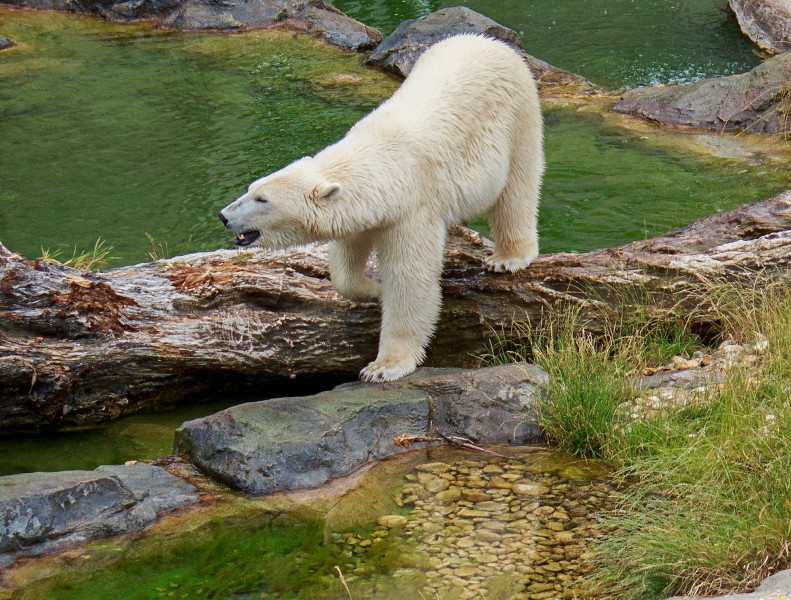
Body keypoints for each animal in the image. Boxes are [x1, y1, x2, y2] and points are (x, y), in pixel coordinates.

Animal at [221, 34, 544, 380]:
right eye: (250, 189)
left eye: (262, 199)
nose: (224, 216)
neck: (381, 161)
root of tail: (490, 41)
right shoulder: (369, 209)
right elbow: (347, 256)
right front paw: (372, 289)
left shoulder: (413, 207)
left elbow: (410, 278)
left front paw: (383, 366)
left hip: (517, 115)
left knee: (516, 189)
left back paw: (508, 257)